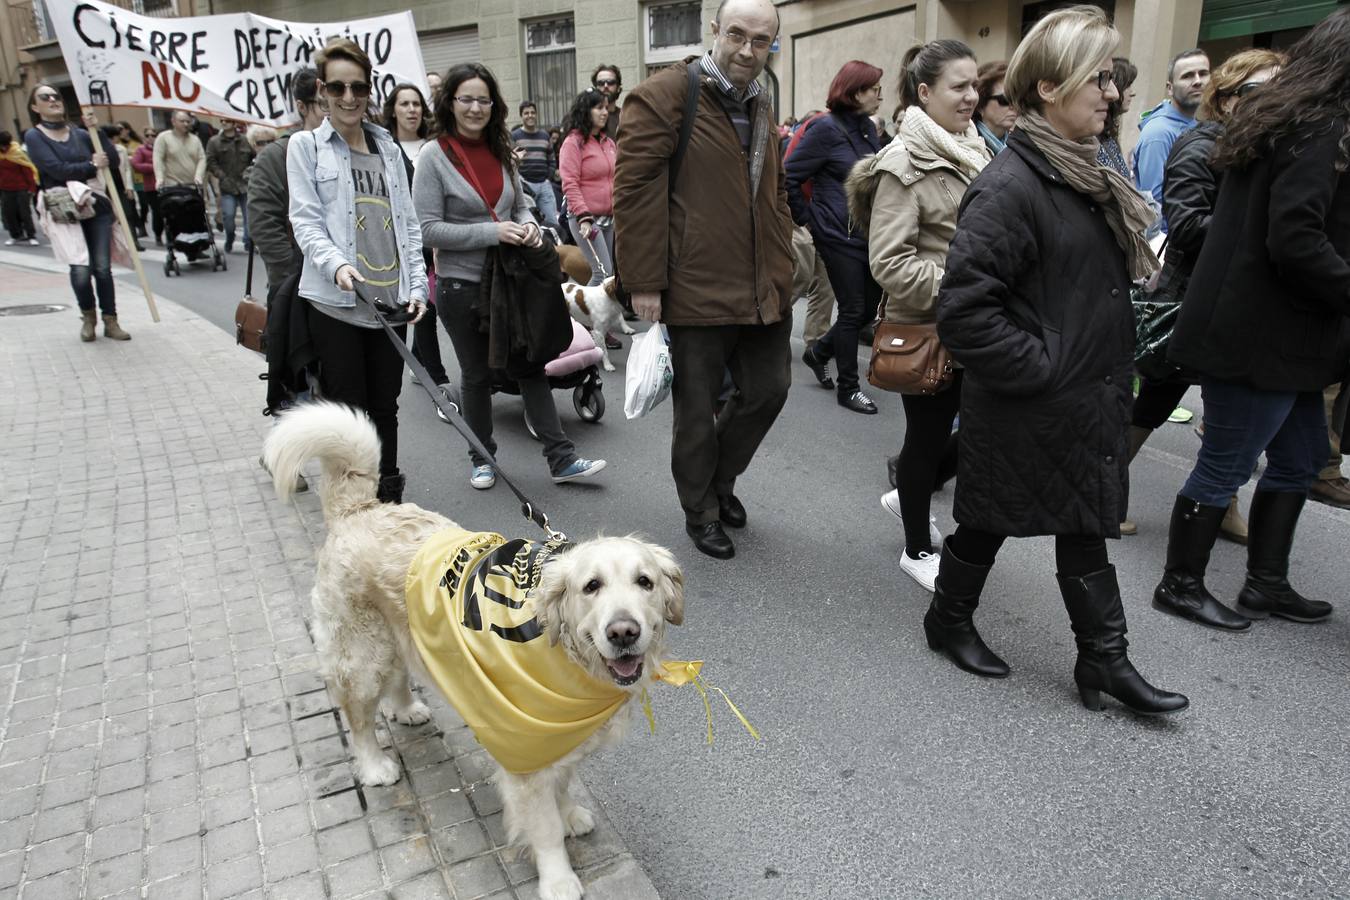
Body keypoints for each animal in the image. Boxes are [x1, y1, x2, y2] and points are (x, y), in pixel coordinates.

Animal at [260, 402, 685, 900]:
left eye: (645, 582)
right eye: (591, 586)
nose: (623, 632)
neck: (562, 652)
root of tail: (359, 508)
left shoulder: (560, 743)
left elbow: (564, 785)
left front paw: (570, 814)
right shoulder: (526, 755)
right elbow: (543, 828)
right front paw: (558, 878)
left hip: (401, 634)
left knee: (399, 677)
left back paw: (406, 708)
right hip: (361, 654)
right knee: (359, 716)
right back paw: (374, 765)